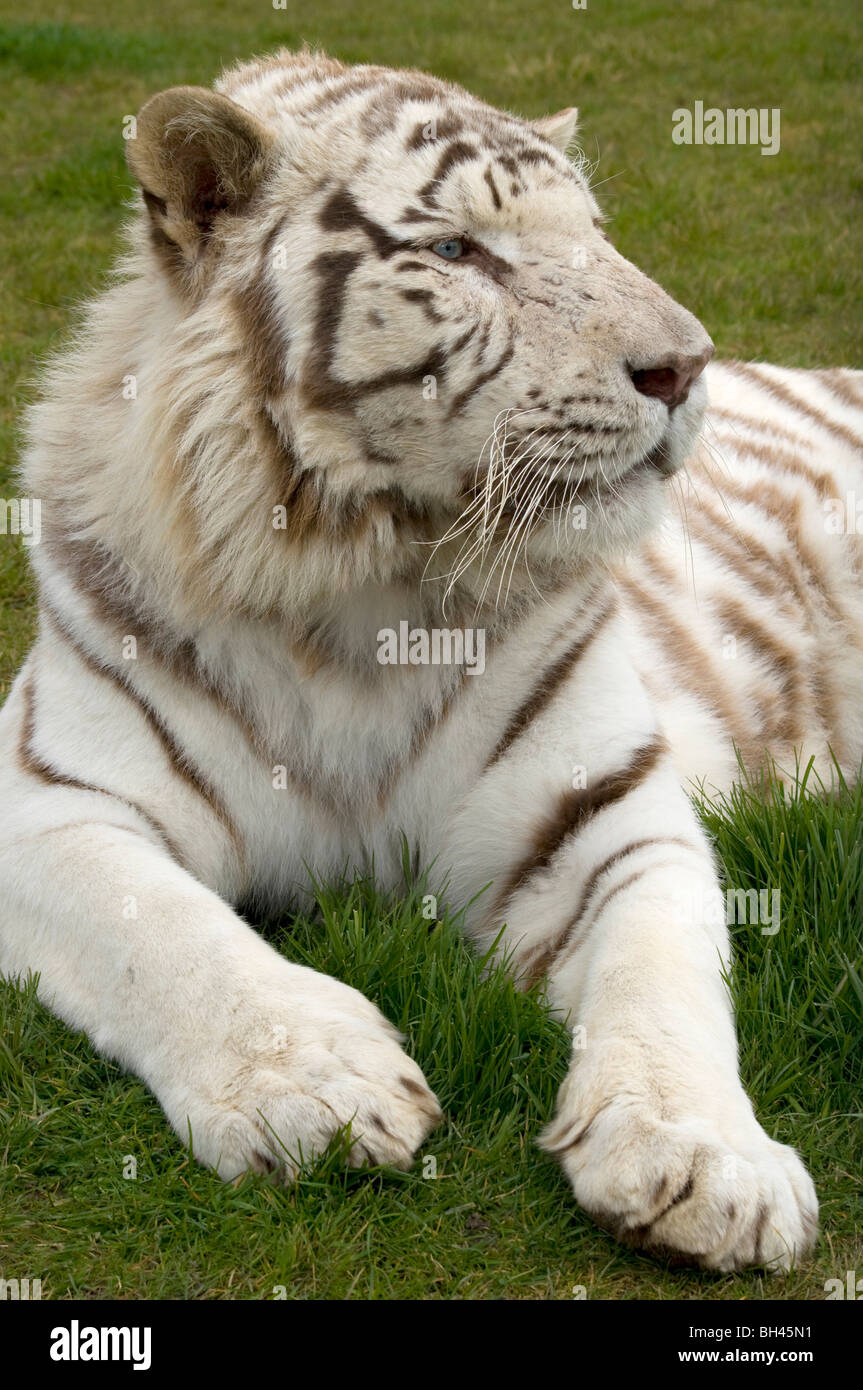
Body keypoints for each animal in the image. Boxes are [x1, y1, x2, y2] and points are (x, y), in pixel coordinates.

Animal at [3, 51, 856, 1273]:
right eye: (457, 252)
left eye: (594, 235)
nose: (683, 367)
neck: (359, 592)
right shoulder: (53, 802)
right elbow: (166, 937)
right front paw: (316, 1086)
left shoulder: (604, 814)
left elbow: (664, 974)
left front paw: (706, 1160)